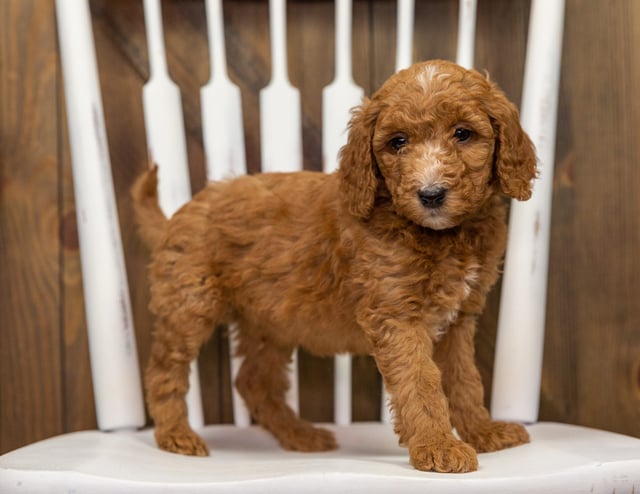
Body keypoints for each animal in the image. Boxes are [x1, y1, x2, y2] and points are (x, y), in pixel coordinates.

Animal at [134, 59, 536, 472]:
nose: (431, 194)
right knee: (164, 369)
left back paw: (300, 435)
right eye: (398, 142)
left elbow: (464, 379)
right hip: (190, 303)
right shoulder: (397, 316)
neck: (436, 234)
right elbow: (420, 382)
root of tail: (178, 214)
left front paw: (483, 431)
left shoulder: (458, 319)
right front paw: (438, 445)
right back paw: (176, 435)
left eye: (463, 134)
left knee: (254, 382)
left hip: (270, 322)